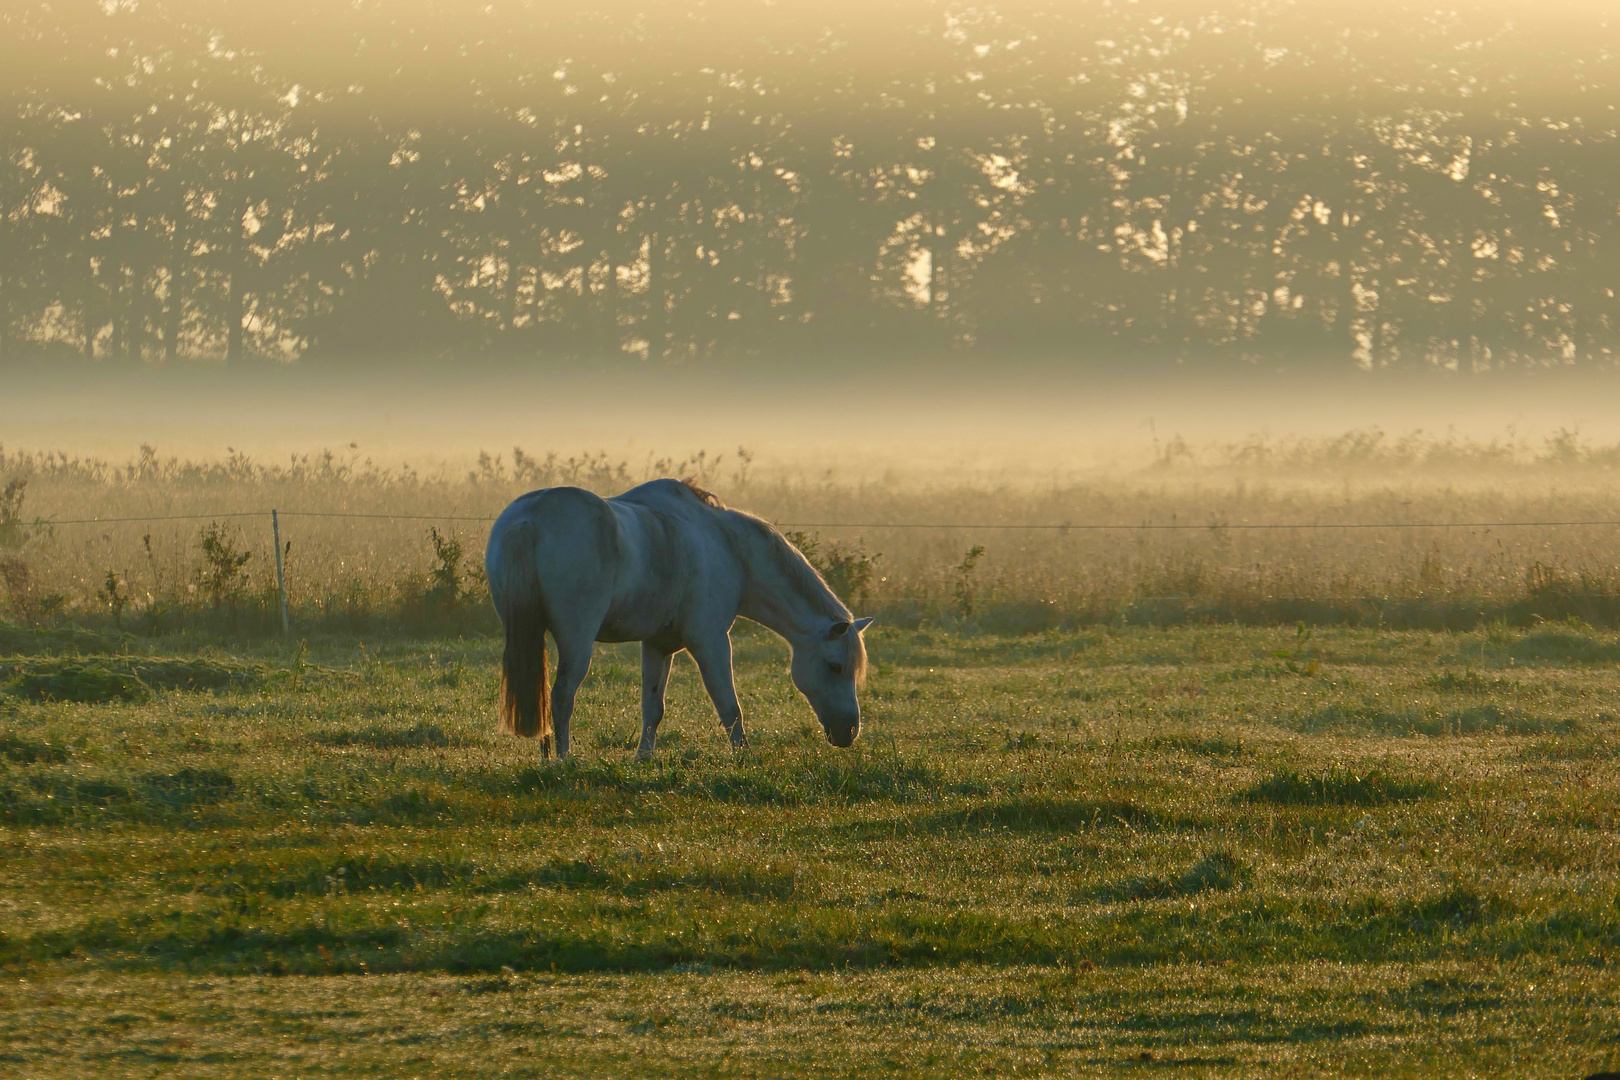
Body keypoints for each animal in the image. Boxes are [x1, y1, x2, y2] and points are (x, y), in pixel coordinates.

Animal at [482, 482, 874, 761]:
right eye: (835, 666)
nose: (849, 732)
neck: (728, 546)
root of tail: (529, 520)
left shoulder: (658, 645)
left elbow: (652, 708)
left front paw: (642, 759)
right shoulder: (711, 641)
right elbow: (729, 706)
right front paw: (745, 757)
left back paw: (548, 759)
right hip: (576, 640)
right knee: (563, 696)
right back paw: (564, 761)